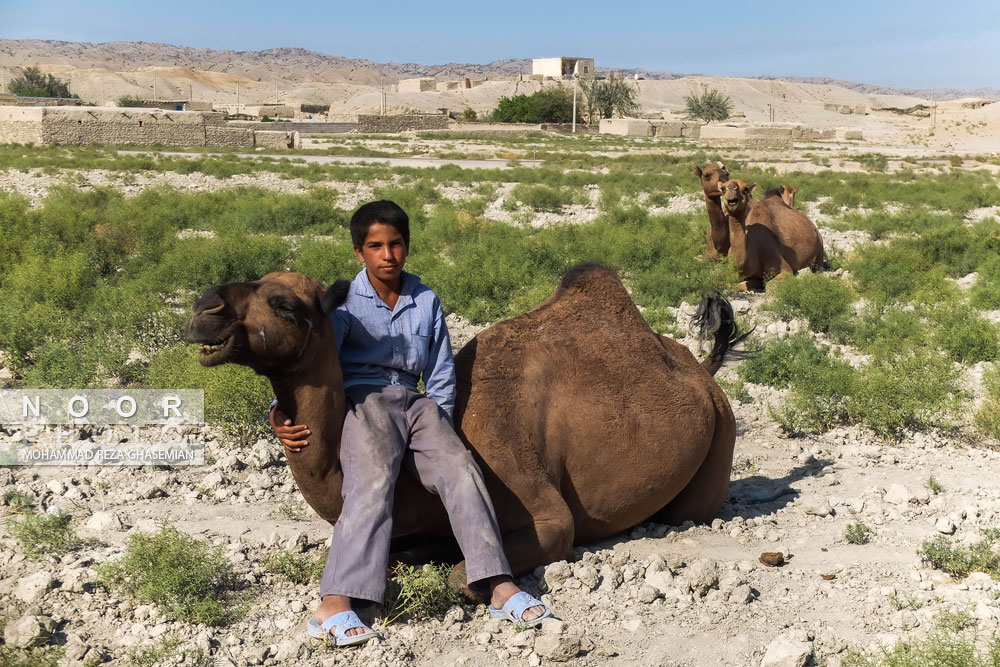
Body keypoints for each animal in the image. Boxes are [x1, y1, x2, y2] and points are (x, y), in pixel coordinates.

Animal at [184, 262, 744, 596]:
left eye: (286, 305)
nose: (203, 308)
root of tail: (703, 374)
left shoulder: (546, 511)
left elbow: (463, 575)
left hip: (721, 440)